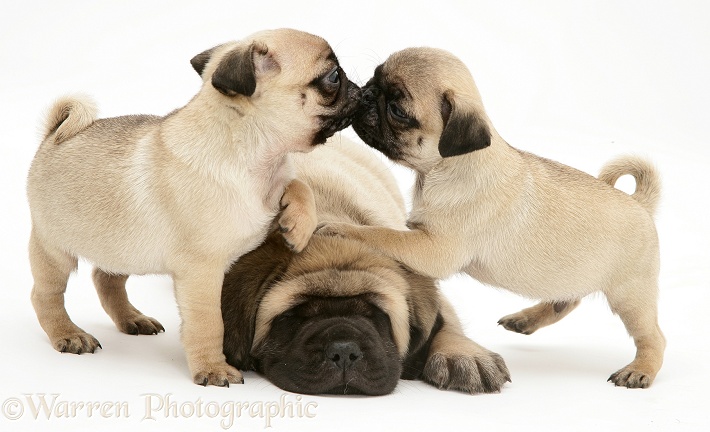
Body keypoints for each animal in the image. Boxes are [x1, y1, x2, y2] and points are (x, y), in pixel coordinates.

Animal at [26, 28, 362, 386]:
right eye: (333, 77)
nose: (359, 88)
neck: (258, 155)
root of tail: (52, 135)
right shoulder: (202, 271)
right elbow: (208, 322)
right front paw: (212, 368)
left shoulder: (270, 197)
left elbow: (300, 185)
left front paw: (299, 227)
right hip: (53, 248)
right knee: (46, 295)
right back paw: (68, 334)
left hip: (123, 245)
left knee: (107, 280)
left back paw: (132, 319)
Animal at [322, 49, 668, 390]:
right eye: (374, 78)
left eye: (397, 109)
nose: (367, 94)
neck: (447, 166)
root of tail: (639, 203)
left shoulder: (433, 249)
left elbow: (382, 234)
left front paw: (340, 229)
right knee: (566, 301)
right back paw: (527, 319)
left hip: (629, 294)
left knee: (654, 337)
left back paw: (640, 370)